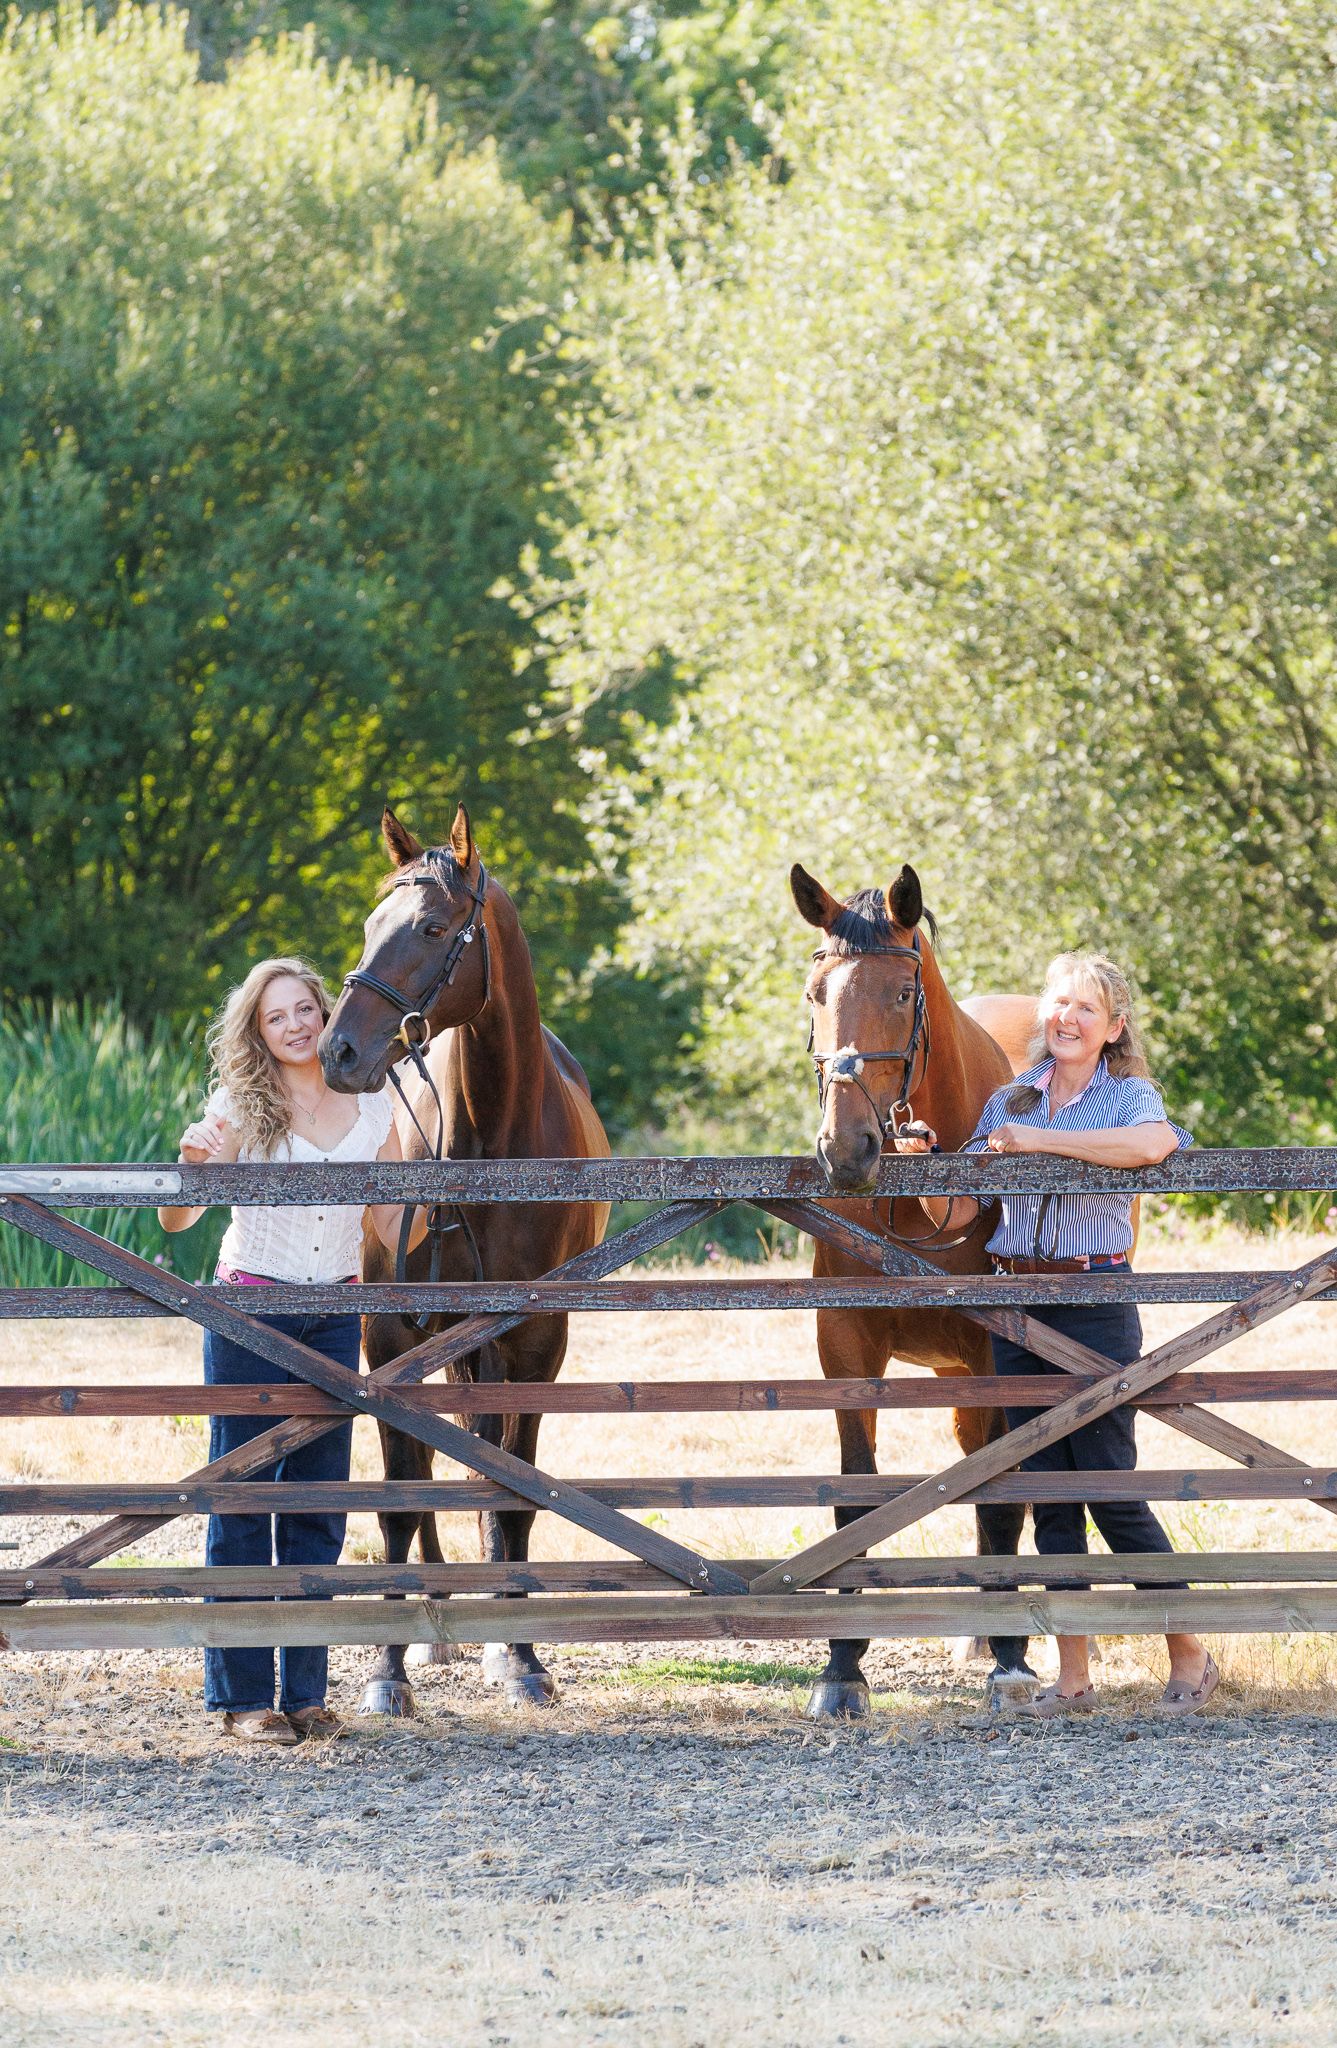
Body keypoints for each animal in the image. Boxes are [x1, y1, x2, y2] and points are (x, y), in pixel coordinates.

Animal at [319, 803, 610, 1713]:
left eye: (432, 928)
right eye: (369, 923)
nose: (338, 1052)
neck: (485, 1140)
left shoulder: (534, 1343)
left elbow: (512, 1494)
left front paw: (519, 1657)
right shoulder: (392, 1338)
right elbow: (401, 1500)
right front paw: (387, 1669)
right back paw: (436, 1625)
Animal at [790, 859, 1038, 1718]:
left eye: (902, 993)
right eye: (815, 992)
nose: (846, 1150)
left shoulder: (1002, 1355)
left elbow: (1000, 1494)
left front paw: (1011, 1658)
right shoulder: (845, 1347)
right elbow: (855, 1501)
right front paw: (841, 1667)